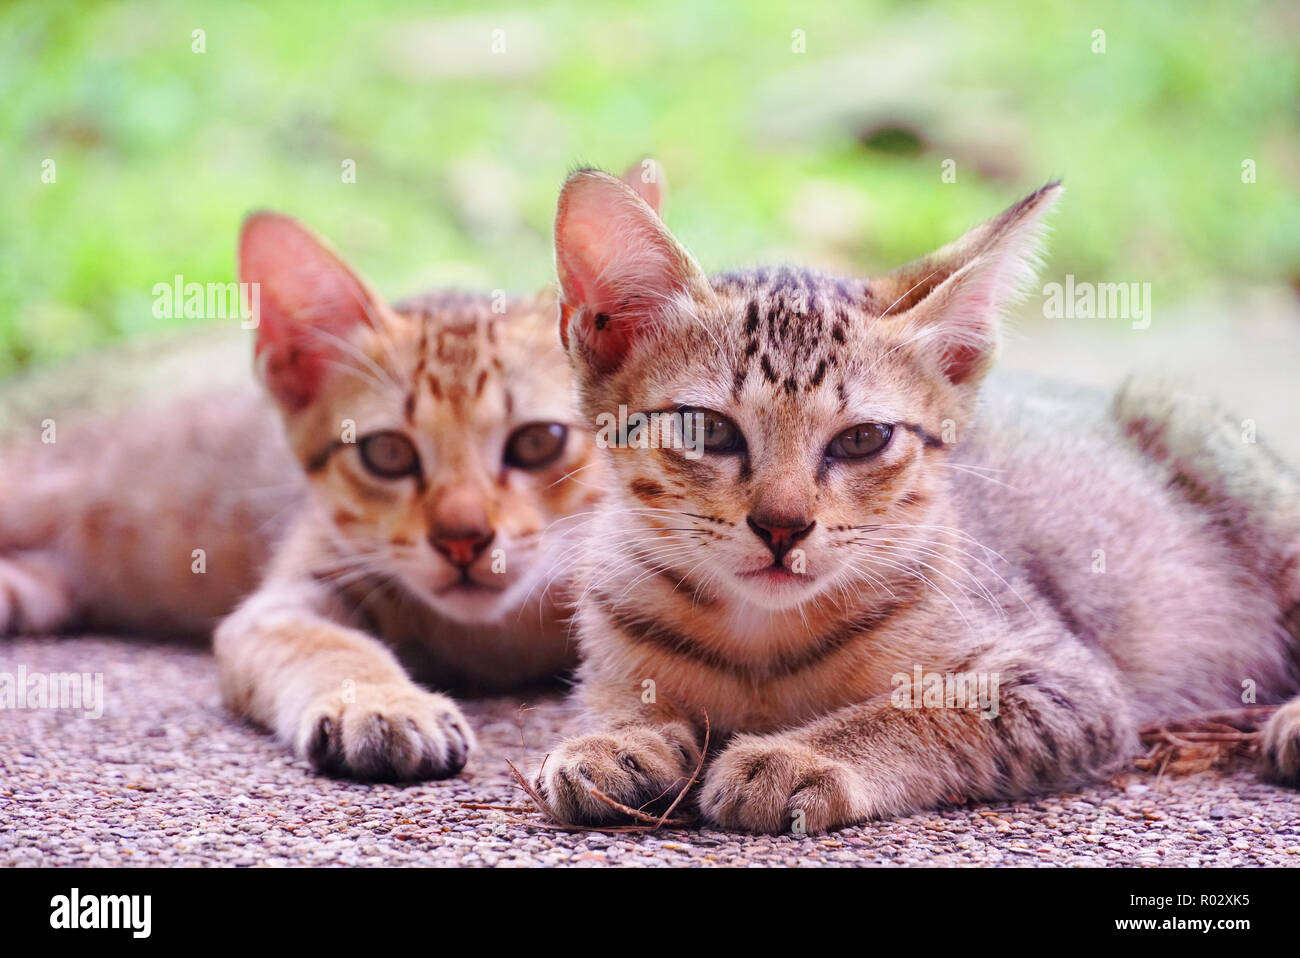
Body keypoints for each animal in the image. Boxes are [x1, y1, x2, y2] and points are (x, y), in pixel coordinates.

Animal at [535, 170, 1300, 831]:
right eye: (708, 430)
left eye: (862, 439)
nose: (782, 527)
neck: (761, 644)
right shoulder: (611, 644)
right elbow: (613, 697)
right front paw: (615, 739)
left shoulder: (1066, 684)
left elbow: (925, 710)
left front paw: (800, 756)